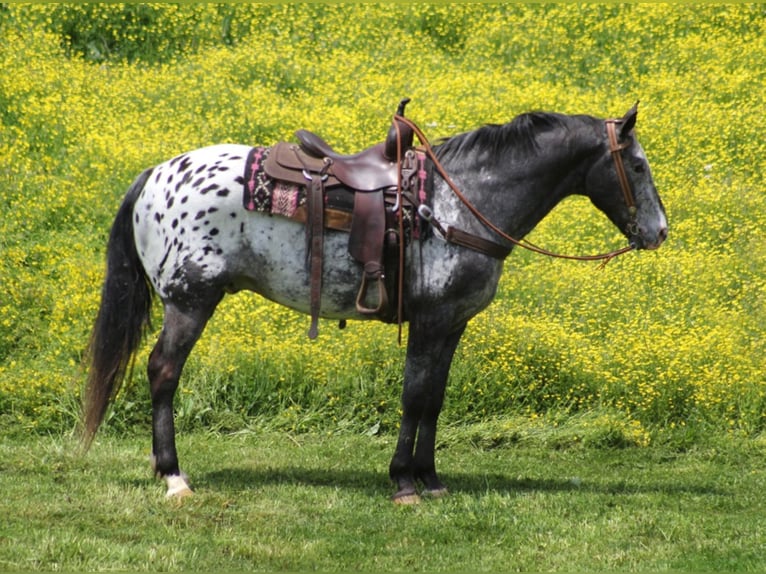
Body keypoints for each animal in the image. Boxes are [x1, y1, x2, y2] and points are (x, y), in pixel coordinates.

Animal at [82, 103, 664, 504]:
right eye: (637, 165)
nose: (659, 231)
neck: (459, 202)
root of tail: (154, 175)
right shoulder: (430, 321)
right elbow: (414, 397)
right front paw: (404, 482)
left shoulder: (451, 325)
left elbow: (435, 399)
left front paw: (430, 478)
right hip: (191, 301)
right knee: (163, 372)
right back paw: (173, 475)